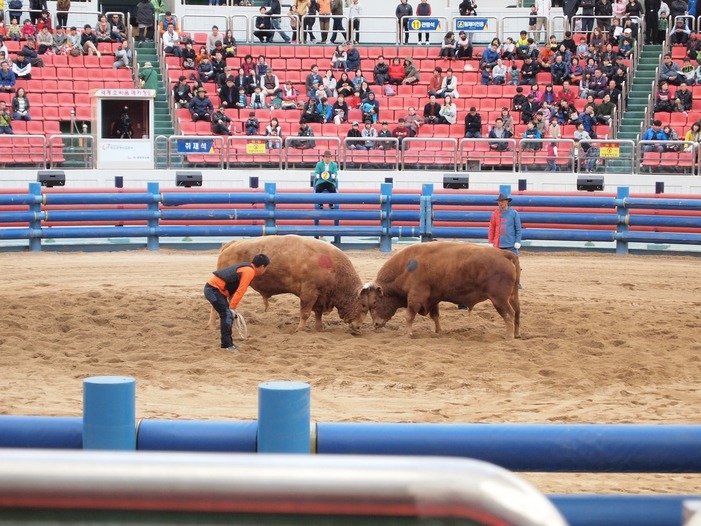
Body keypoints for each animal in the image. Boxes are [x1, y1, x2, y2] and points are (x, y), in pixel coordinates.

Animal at [206, 236, 366, 334]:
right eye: (363, 306)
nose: (358, 326)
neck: (333, 268)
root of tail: (231, 244)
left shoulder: (320, 296)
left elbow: (318, 313)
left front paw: (319, 327)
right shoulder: (309, 293)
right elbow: (305, 313)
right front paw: (300, 329)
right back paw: (212, 325)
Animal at [360, 242, 520, 338]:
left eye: (374, 303)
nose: (375, 324)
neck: (406, 267)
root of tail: (503, 254)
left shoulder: (415, 297)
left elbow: (409, 315)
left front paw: (408, 333)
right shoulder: (433, 298)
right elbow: (435, 316)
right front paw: (438, 332)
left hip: (499, 299)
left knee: (509, 314)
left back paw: (508, 336)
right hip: (511, 297)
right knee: (517, 313)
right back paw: (516, 334)